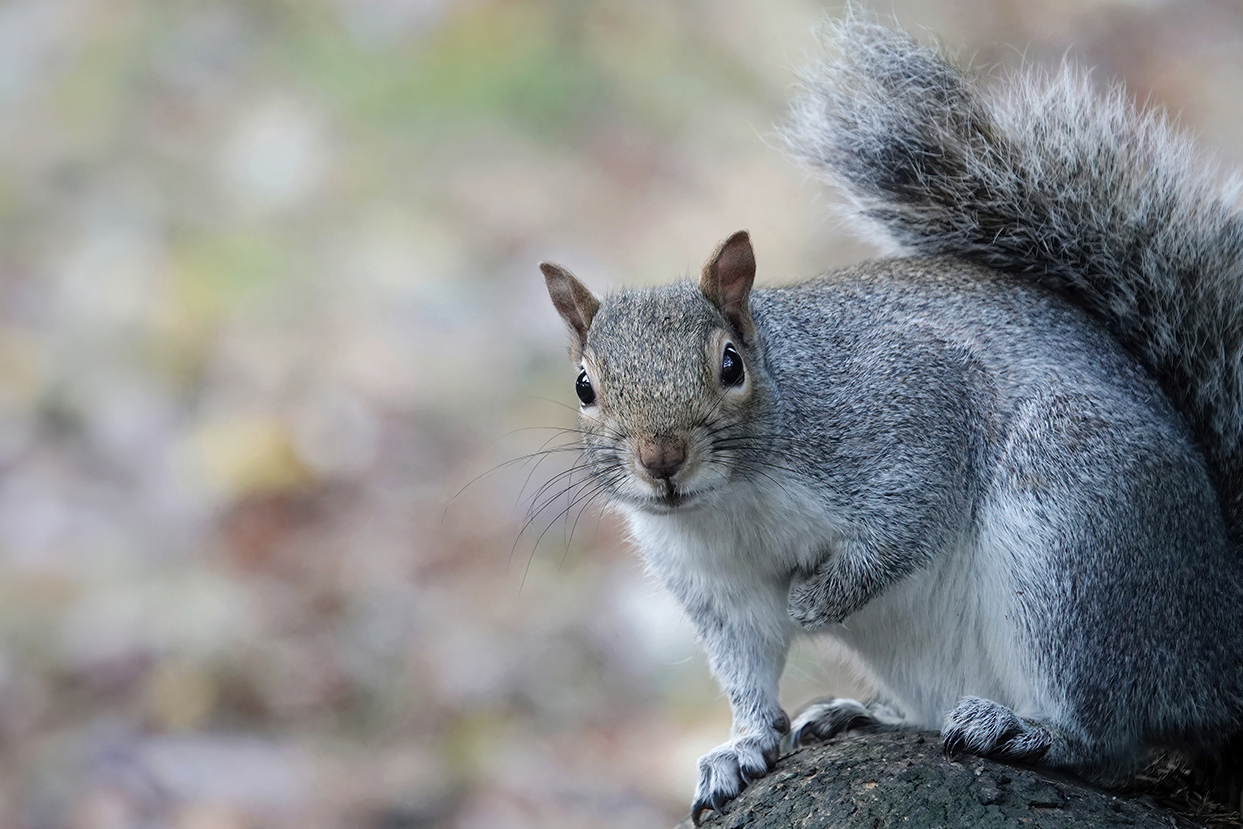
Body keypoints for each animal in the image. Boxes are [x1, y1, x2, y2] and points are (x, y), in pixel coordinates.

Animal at [540, 10, 1243, 825]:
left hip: (1074, 535)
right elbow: (747, 668)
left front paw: (816, 598)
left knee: (1108, 733)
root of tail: (1220, 645)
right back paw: (865, 714)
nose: (661, 459)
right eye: (584, 387)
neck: (731, 501)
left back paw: (1028, 731)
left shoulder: (909, 412)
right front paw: (741, 747)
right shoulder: (716, 589)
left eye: (730, 364)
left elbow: (904, 524)